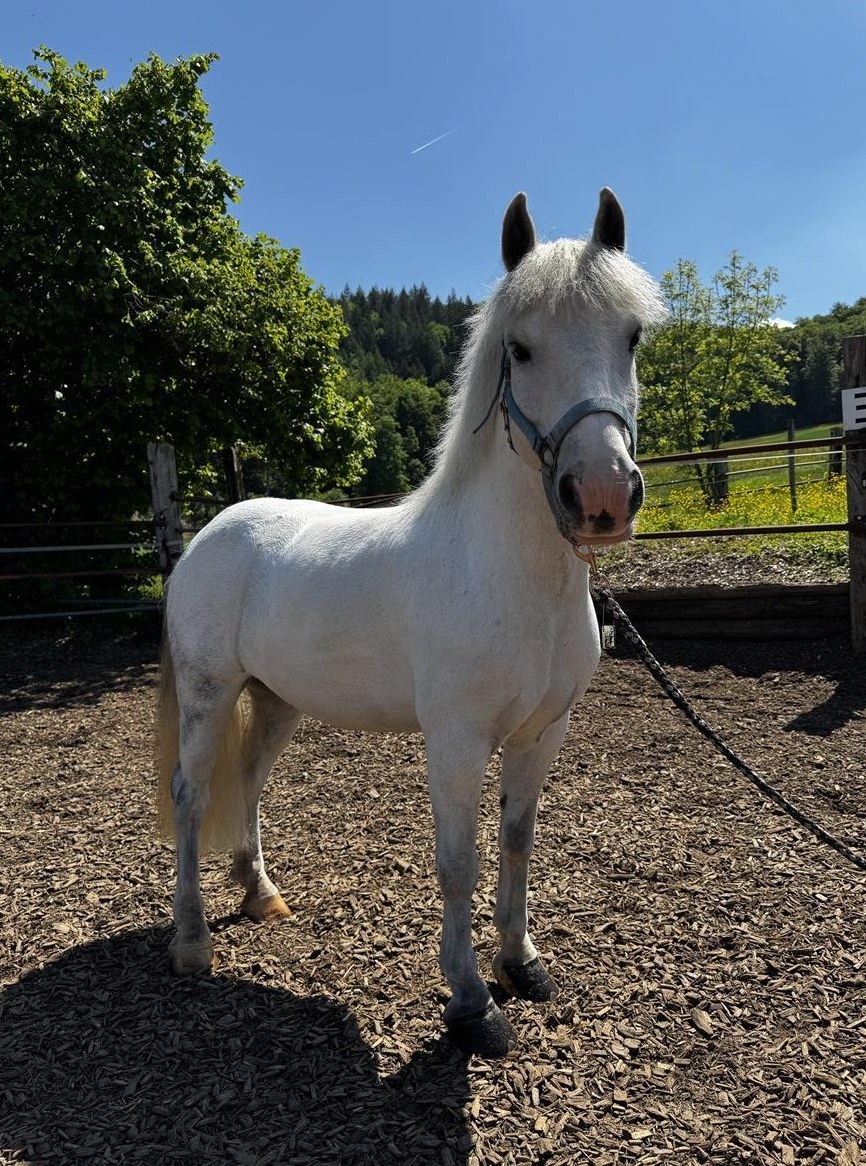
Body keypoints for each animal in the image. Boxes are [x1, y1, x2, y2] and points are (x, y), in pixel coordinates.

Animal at [157, 188, 666, 1058]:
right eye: (520, 348)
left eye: (630, 337)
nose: (600, 496)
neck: (511, 578)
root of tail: (209, 534)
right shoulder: (456, 740)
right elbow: (458, 863)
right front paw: (471, 1002)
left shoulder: (543, 733)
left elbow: (518, 841)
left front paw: (521, 963)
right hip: (209, 692)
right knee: (194, 793)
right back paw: (192, 942)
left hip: (276, 699)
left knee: (247, 783)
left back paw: (260, 895)